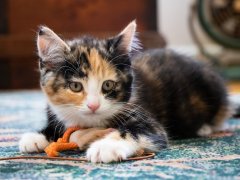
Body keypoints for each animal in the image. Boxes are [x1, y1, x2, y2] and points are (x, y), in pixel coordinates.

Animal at [19, 21, 231, 163]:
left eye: (108, 85)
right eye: (76, 87)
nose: (93, 105)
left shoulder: (148, 121)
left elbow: (135, 132)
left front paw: (105, 146)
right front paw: (37, 137)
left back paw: (205, 127)